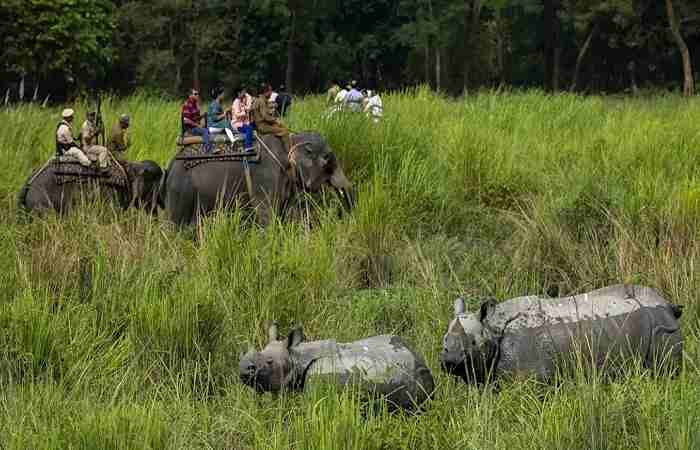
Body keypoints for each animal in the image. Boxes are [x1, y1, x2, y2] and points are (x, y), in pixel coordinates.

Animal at [161, 132, 352, 227]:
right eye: (328, 161)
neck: (288, 142)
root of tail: (168, 166)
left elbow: (285, 211)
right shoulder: (265, 177)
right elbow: (266, 213)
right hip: (181, 190)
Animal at [442, 284, 684, 384]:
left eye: (474, 343)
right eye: (444, 342)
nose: (450, 361)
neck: (491, 327)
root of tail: (668, 305)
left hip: (661, 327)